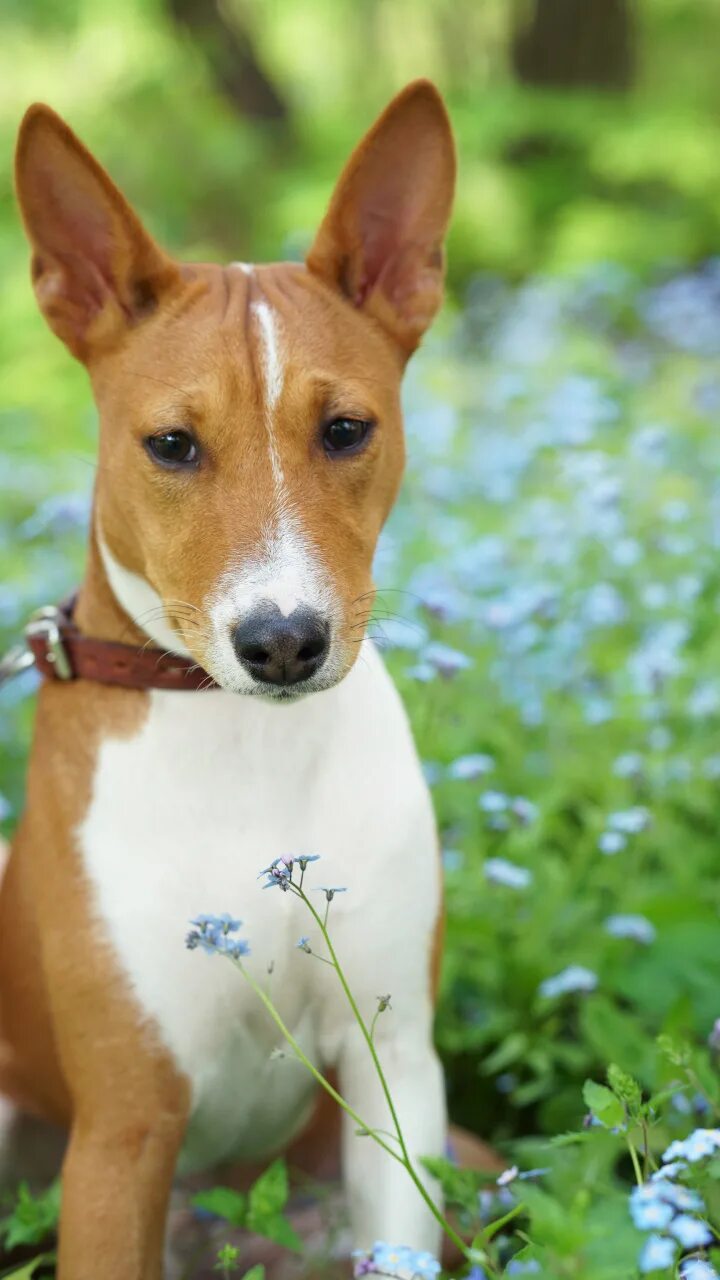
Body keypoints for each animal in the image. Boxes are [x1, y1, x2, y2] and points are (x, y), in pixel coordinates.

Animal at [1, 82, 453, 1280]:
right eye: (171, 445)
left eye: (346, 429)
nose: (283, 639)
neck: (244, 744)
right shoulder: (123, 1132)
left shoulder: (395, 1067)